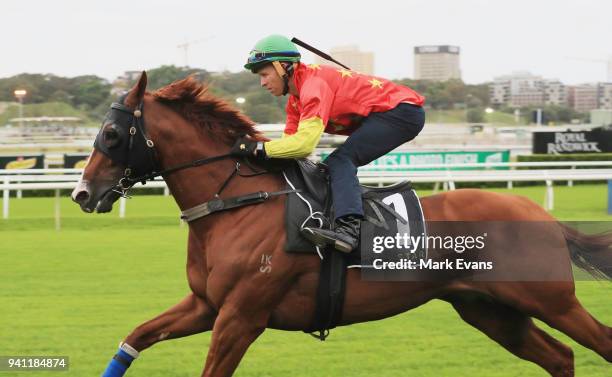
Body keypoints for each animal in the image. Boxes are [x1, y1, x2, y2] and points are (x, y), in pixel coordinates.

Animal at [73, 71, 612, 376]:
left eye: (113, 133)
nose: (82, 193)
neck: (238, 202)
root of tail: (542, 215)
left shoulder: (241, 316)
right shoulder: (207, 306)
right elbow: (137, 337)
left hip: (549, 299)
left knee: (599, 343)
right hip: (489, 310)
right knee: (561, 358)